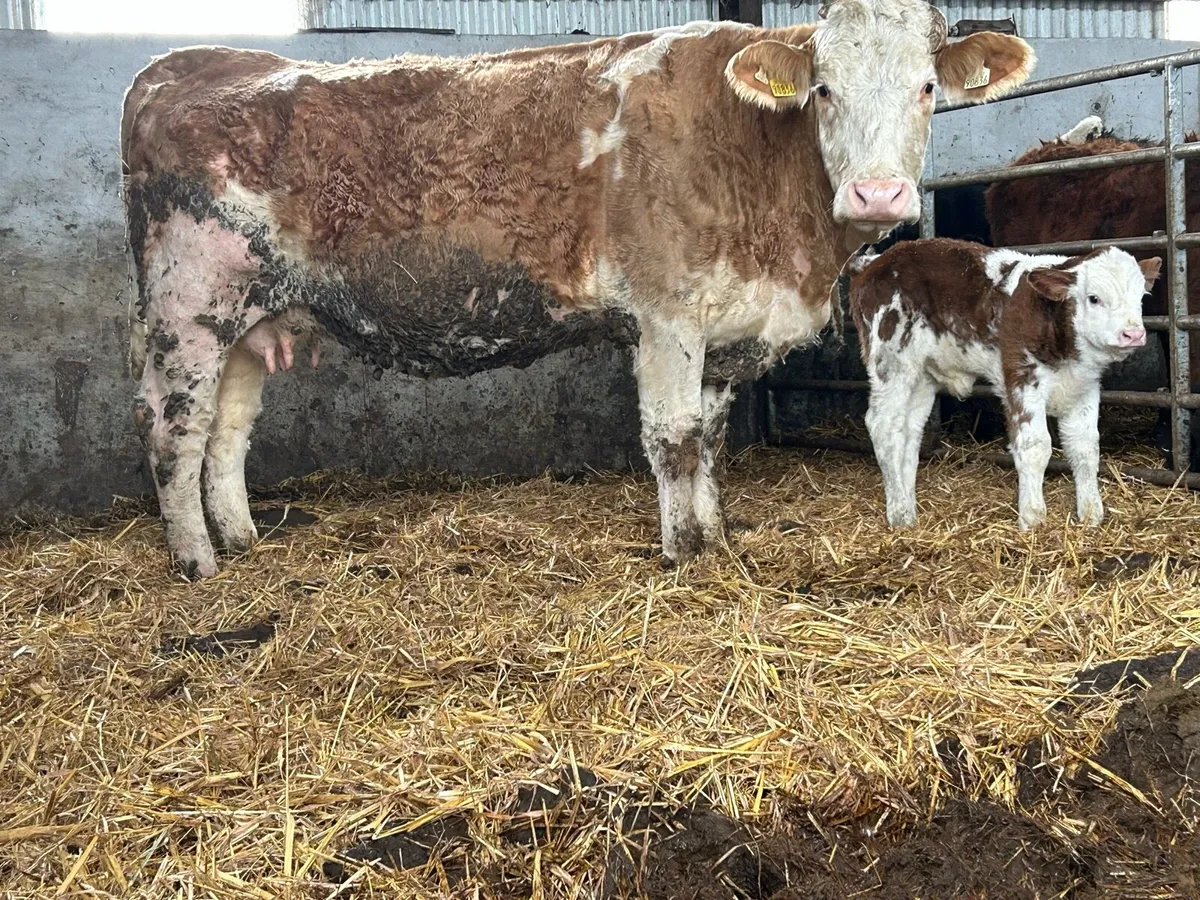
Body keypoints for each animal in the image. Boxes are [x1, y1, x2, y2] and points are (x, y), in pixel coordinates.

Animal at [121, 1, 1033, 578]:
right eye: (823, 88)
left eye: (927, 87)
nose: (878, 196)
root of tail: (186, 61)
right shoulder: (666, 316)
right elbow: (673, 439)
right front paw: (681, 554)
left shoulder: (724, 326)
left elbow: (709, 437)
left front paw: (713, 535)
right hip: (187, 305)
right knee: (174, 428)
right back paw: (196, 563)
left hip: (251, 319)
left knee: (227, 431)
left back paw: (240, 539)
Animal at [851, 239, 1160, 530]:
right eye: (1094, 298)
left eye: (1141, 297)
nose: (1132, 334)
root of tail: (874, 262)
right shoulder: (1021, 377)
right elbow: (1035, 446)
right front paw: (1033, 518)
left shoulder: (1084, 387)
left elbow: (1085, 448)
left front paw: (1091, 515)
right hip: (891, 360)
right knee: (883, 426)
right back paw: (900, 514)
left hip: (921, 376)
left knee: (908, 432)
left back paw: (908, 507)